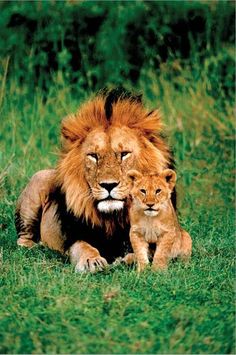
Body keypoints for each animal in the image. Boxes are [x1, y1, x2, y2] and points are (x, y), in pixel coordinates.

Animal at [15, 88, 175, 272]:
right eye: (93, 156)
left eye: (124, 154)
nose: (108, 185)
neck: (113, 217)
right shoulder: (75, 236)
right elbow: (84, 247)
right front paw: (92, 261)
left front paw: (132, 259)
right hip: (37, 184)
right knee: (23, 239)